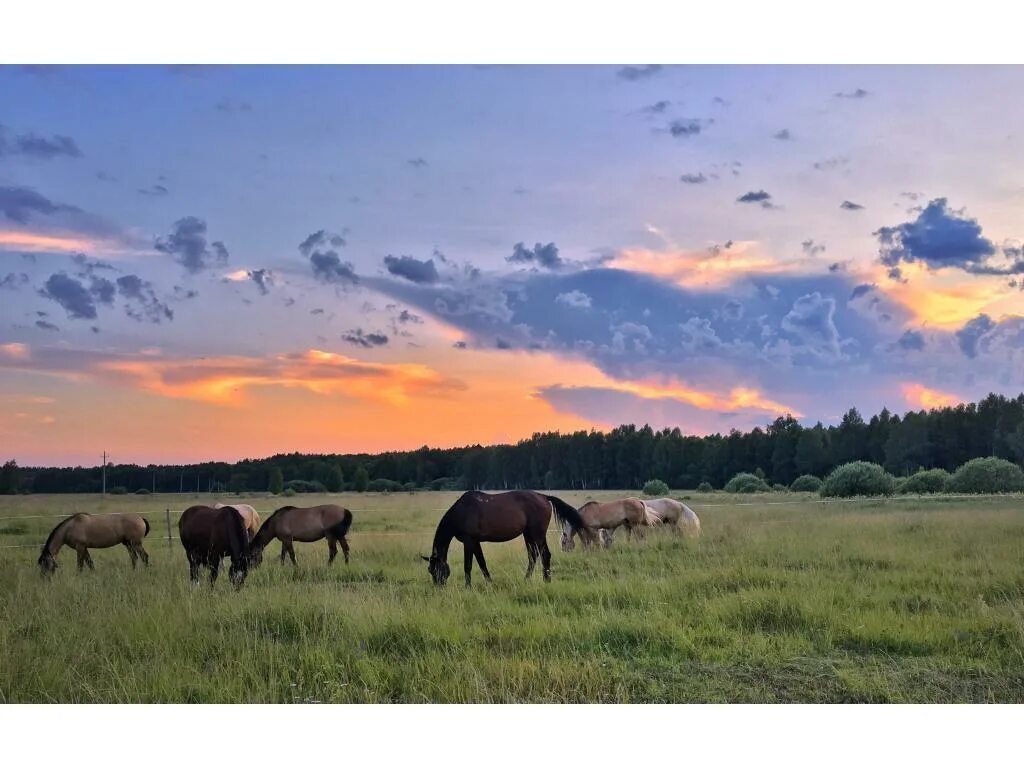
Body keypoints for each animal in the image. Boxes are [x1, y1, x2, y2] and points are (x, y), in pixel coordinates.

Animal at [419, 493, 589, 589]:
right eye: (430, 570)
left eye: (436, 569)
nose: (439, 588)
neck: (461, 512)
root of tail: (544, 497)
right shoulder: (475, 542)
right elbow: (482, 563)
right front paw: (490, 582)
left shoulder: (469, 541)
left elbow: (468, 565)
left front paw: (468, 587)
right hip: (528, 534)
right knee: (533, 556)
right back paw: (527, 580)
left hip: (537, 533)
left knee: (545, 554)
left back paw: (546, 580)